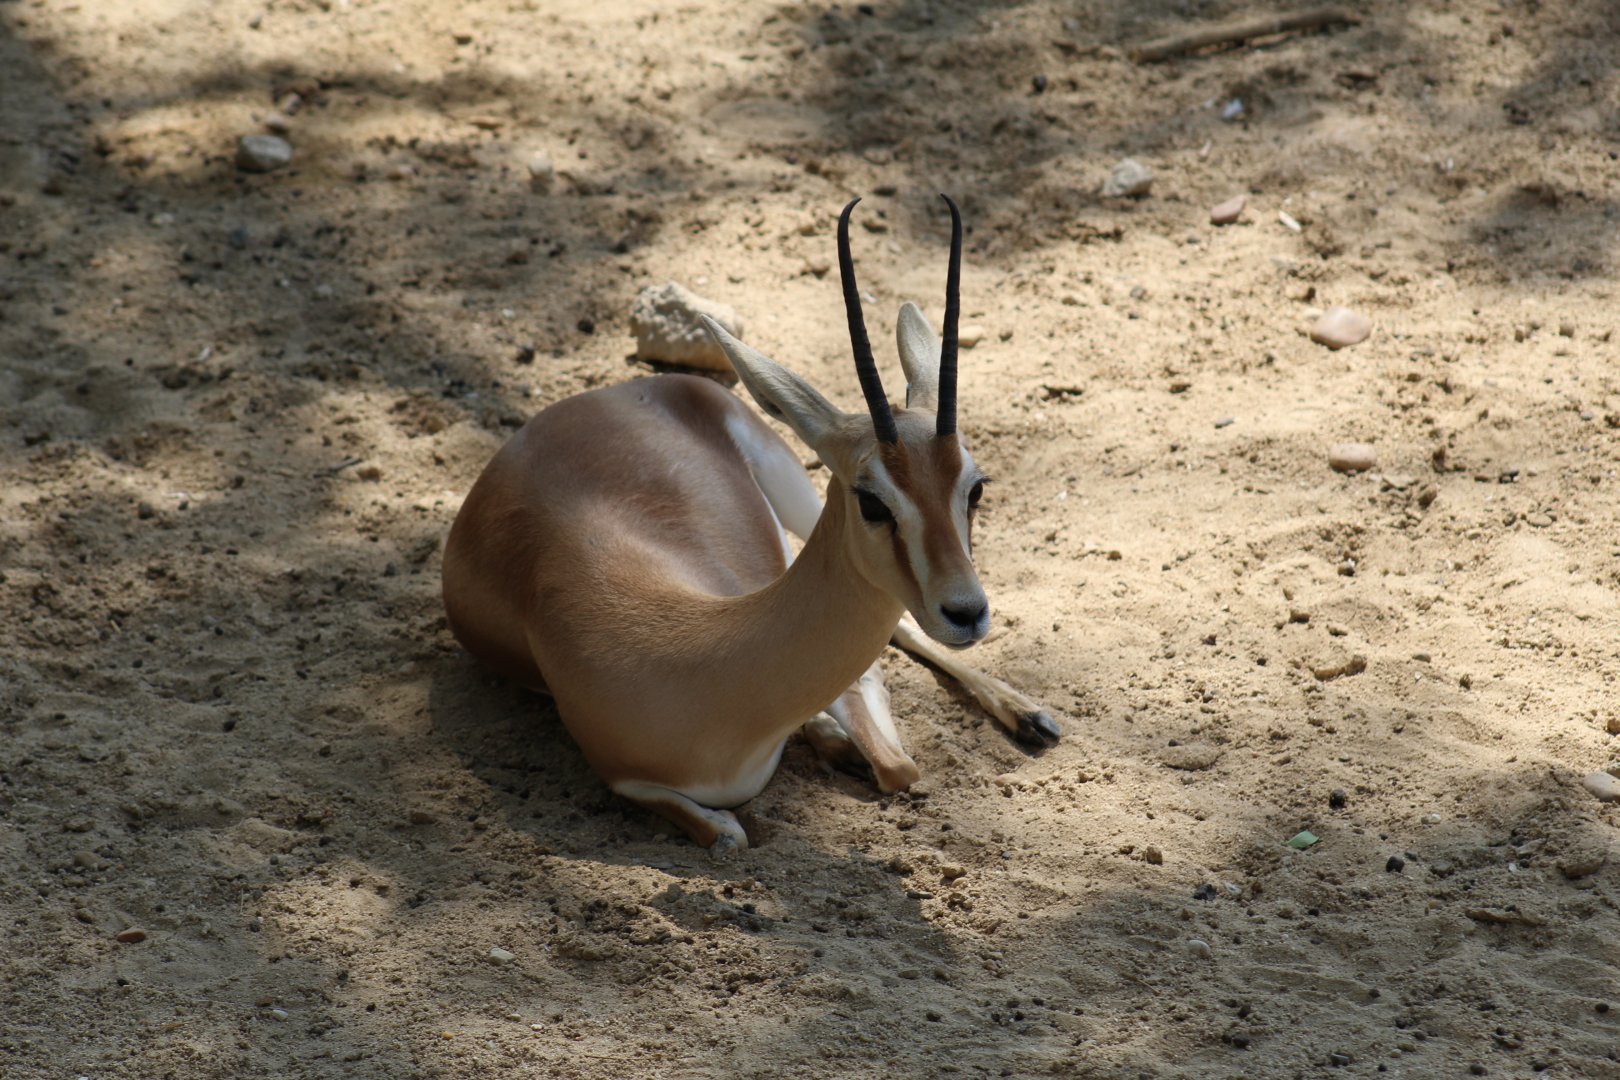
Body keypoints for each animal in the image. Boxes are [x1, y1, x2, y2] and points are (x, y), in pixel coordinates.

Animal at [442, 196, 1059, 853]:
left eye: (976, 486)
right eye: (872, 501)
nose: (966, 611)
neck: (708, 661)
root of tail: (578, 404)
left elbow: (897, 762)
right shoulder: (624, 777)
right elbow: (731, 833)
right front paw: (825, 743)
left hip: (792, 487)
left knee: (908, 635)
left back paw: (1032, 718)